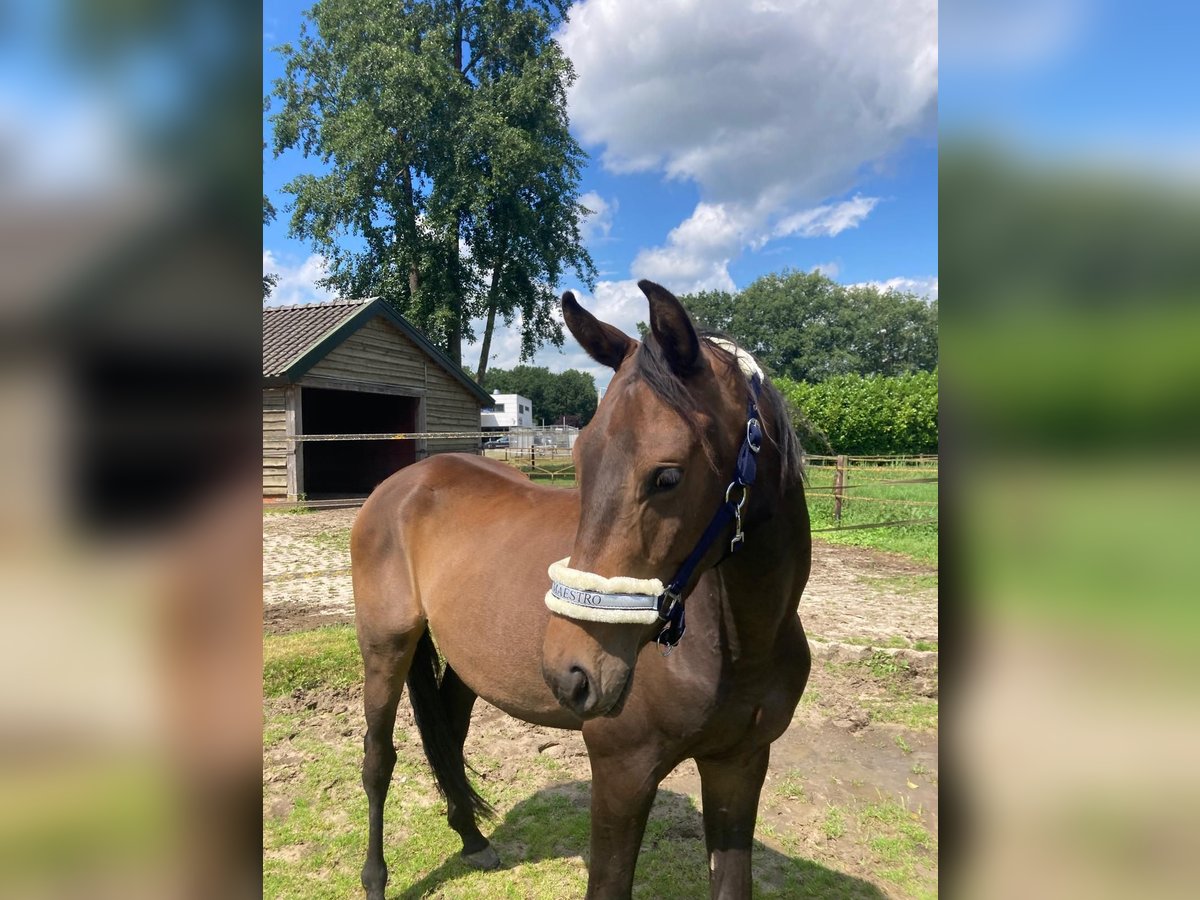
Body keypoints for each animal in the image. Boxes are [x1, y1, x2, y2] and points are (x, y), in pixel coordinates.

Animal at [350, 278, 811, 897]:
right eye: (580, 458)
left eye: (667, 475)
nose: (571, 673)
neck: (741, 645)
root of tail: (399, 485)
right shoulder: (622, 772)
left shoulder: (739, 766)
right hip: (386, 646)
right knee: (379, 758)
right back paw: (376, 877)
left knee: (450, 735)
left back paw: (472, 839)